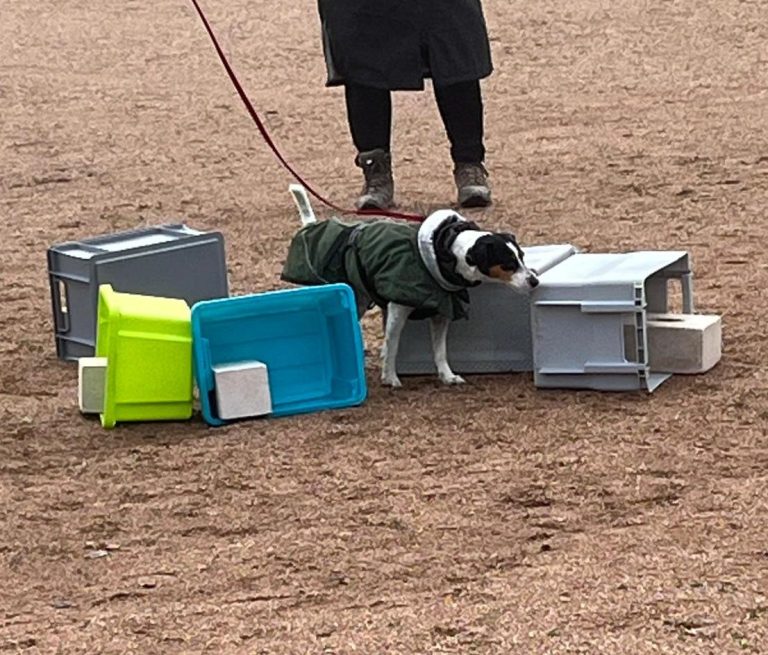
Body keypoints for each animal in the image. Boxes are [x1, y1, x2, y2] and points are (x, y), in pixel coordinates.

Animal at [282, 185, 539, 387]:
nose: (534, 280)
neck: (443, 249)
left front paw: (447, 376)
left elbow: (440, 350)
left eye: (522, 257)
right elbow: (393, 344)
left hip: (360, 298)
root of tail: (310, 227)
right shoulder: (398, 309)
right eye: (508, 264)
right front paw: (390, 377)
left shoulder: (441, 313)